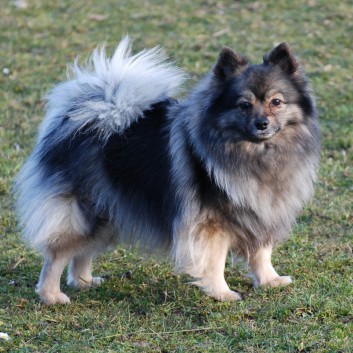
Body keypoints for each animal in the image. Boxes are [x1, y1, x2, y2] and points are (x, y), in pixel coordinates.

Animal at [14, 37, 320, 302]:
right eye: (244, 105)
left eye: (276, 102)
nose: (262, 123)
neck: (257, 154)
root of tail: (92, 115)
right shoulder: (211, 224)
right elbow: (215, 261)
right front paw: (222, 293)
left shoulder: (261, 211)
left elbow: (261, 253)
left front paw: (270, 280)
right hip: (83, 213)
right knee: (57, 254)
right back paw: (52, 296)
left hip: (108, 212)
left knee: (82, 252)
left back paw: (84, 282)